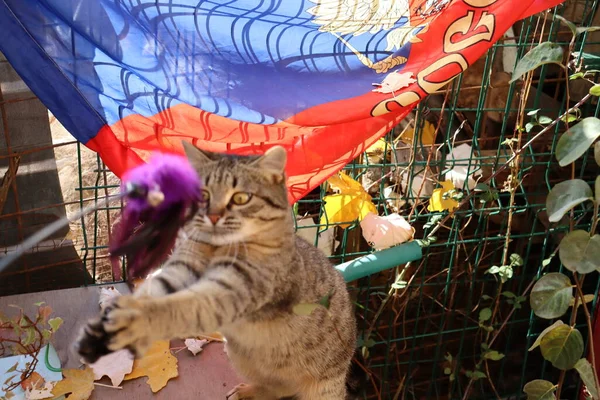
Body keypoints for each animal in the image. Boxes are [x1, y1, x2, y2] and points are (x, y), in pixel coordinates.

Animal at [74, 144, 356, 400]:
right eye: (203, 194)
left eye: (240, 198)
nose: (212, 216)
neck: (217, 248)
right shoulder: (184, 265)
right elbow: (155, 289)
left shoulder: (236, 286)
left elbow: (182, 306)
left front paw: (136, 320)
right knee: (277, 387)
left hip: (323, 388)